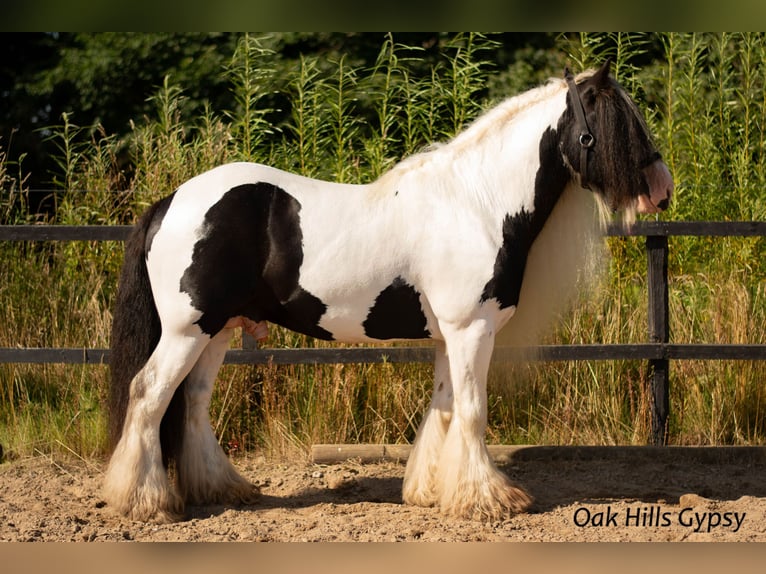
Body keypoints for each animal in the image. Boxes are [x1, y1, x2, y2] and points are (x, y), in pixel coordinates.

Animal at [102, 62, 672, 528]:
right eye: (616, 124)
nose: (662, 188)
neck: (478, 203)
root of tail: (172, 201)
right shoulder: (472, 330)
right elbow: (472, 410)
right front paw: (488, 500)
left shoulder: (450, 336)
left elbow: (444, 408)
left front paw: (432, 491)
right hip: (187, 330)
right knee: (148, 393)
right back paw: (145, 503)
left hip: (218, 329)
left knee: (193, 402)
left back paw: (221, 490)